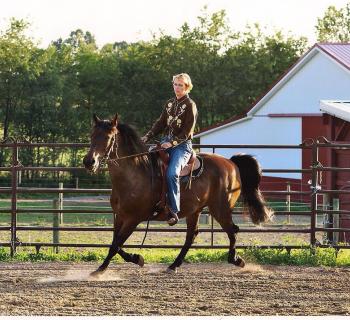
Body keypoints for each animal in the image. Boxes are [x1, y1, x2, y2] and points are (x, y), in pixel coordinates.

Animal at [82, 114, 274, 276]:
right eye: (91, 135)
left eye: (108, 137)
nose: (89, 161)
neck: (135, 174)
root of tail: (231, 163)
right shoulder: (120, 216)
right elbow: (116, 243)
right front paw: (135, 259)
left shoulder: (133, 218)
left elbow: (116, 245)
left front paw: (101, 270)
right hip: (195, 211)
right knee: (191, 235)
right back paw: (174, 265)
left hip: (220, 209)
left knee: (232, 230)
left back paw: (236, 260)